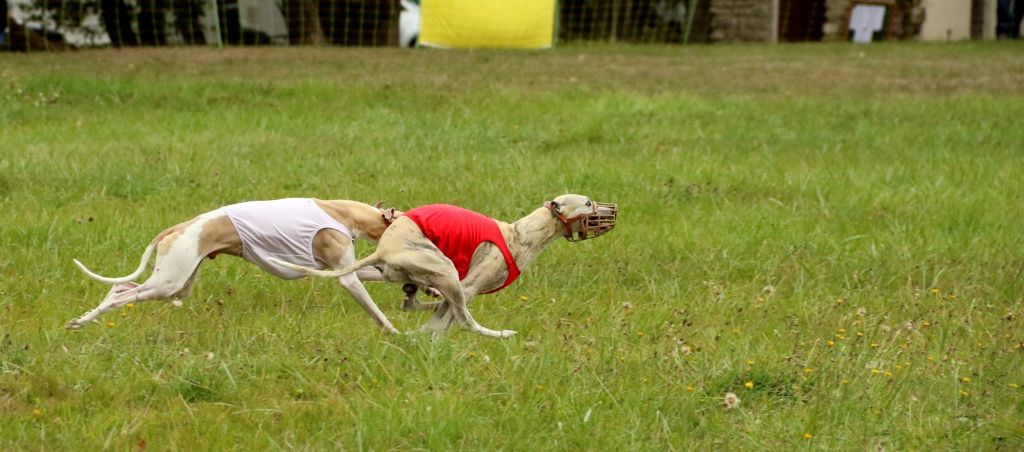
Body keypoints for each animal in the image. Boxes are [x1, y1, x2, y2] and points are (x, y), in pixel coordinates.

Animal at [67, 196, 423, 332]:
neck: (343, 212)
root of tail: (174, 229)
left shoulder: (344, 265)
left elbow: (377, 274)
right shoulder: (344, 273)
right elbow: (372, 307)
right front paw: (394, 333)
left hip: (178, 282)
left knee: (120, 288)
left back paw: (83, 320)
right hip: (170, 280)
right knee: (122, 294)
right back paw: (81, 322)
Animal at [268, 193, 614, 338]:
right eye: (587, 202)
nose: (612, 210)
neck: (520, 234)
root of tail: (383, 250)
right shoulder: (469, 286)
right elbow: (450, 320)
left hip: (415, 272)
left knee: (411, 302)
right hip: (445, 268)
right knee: (464, 320)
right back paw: (500, 334)